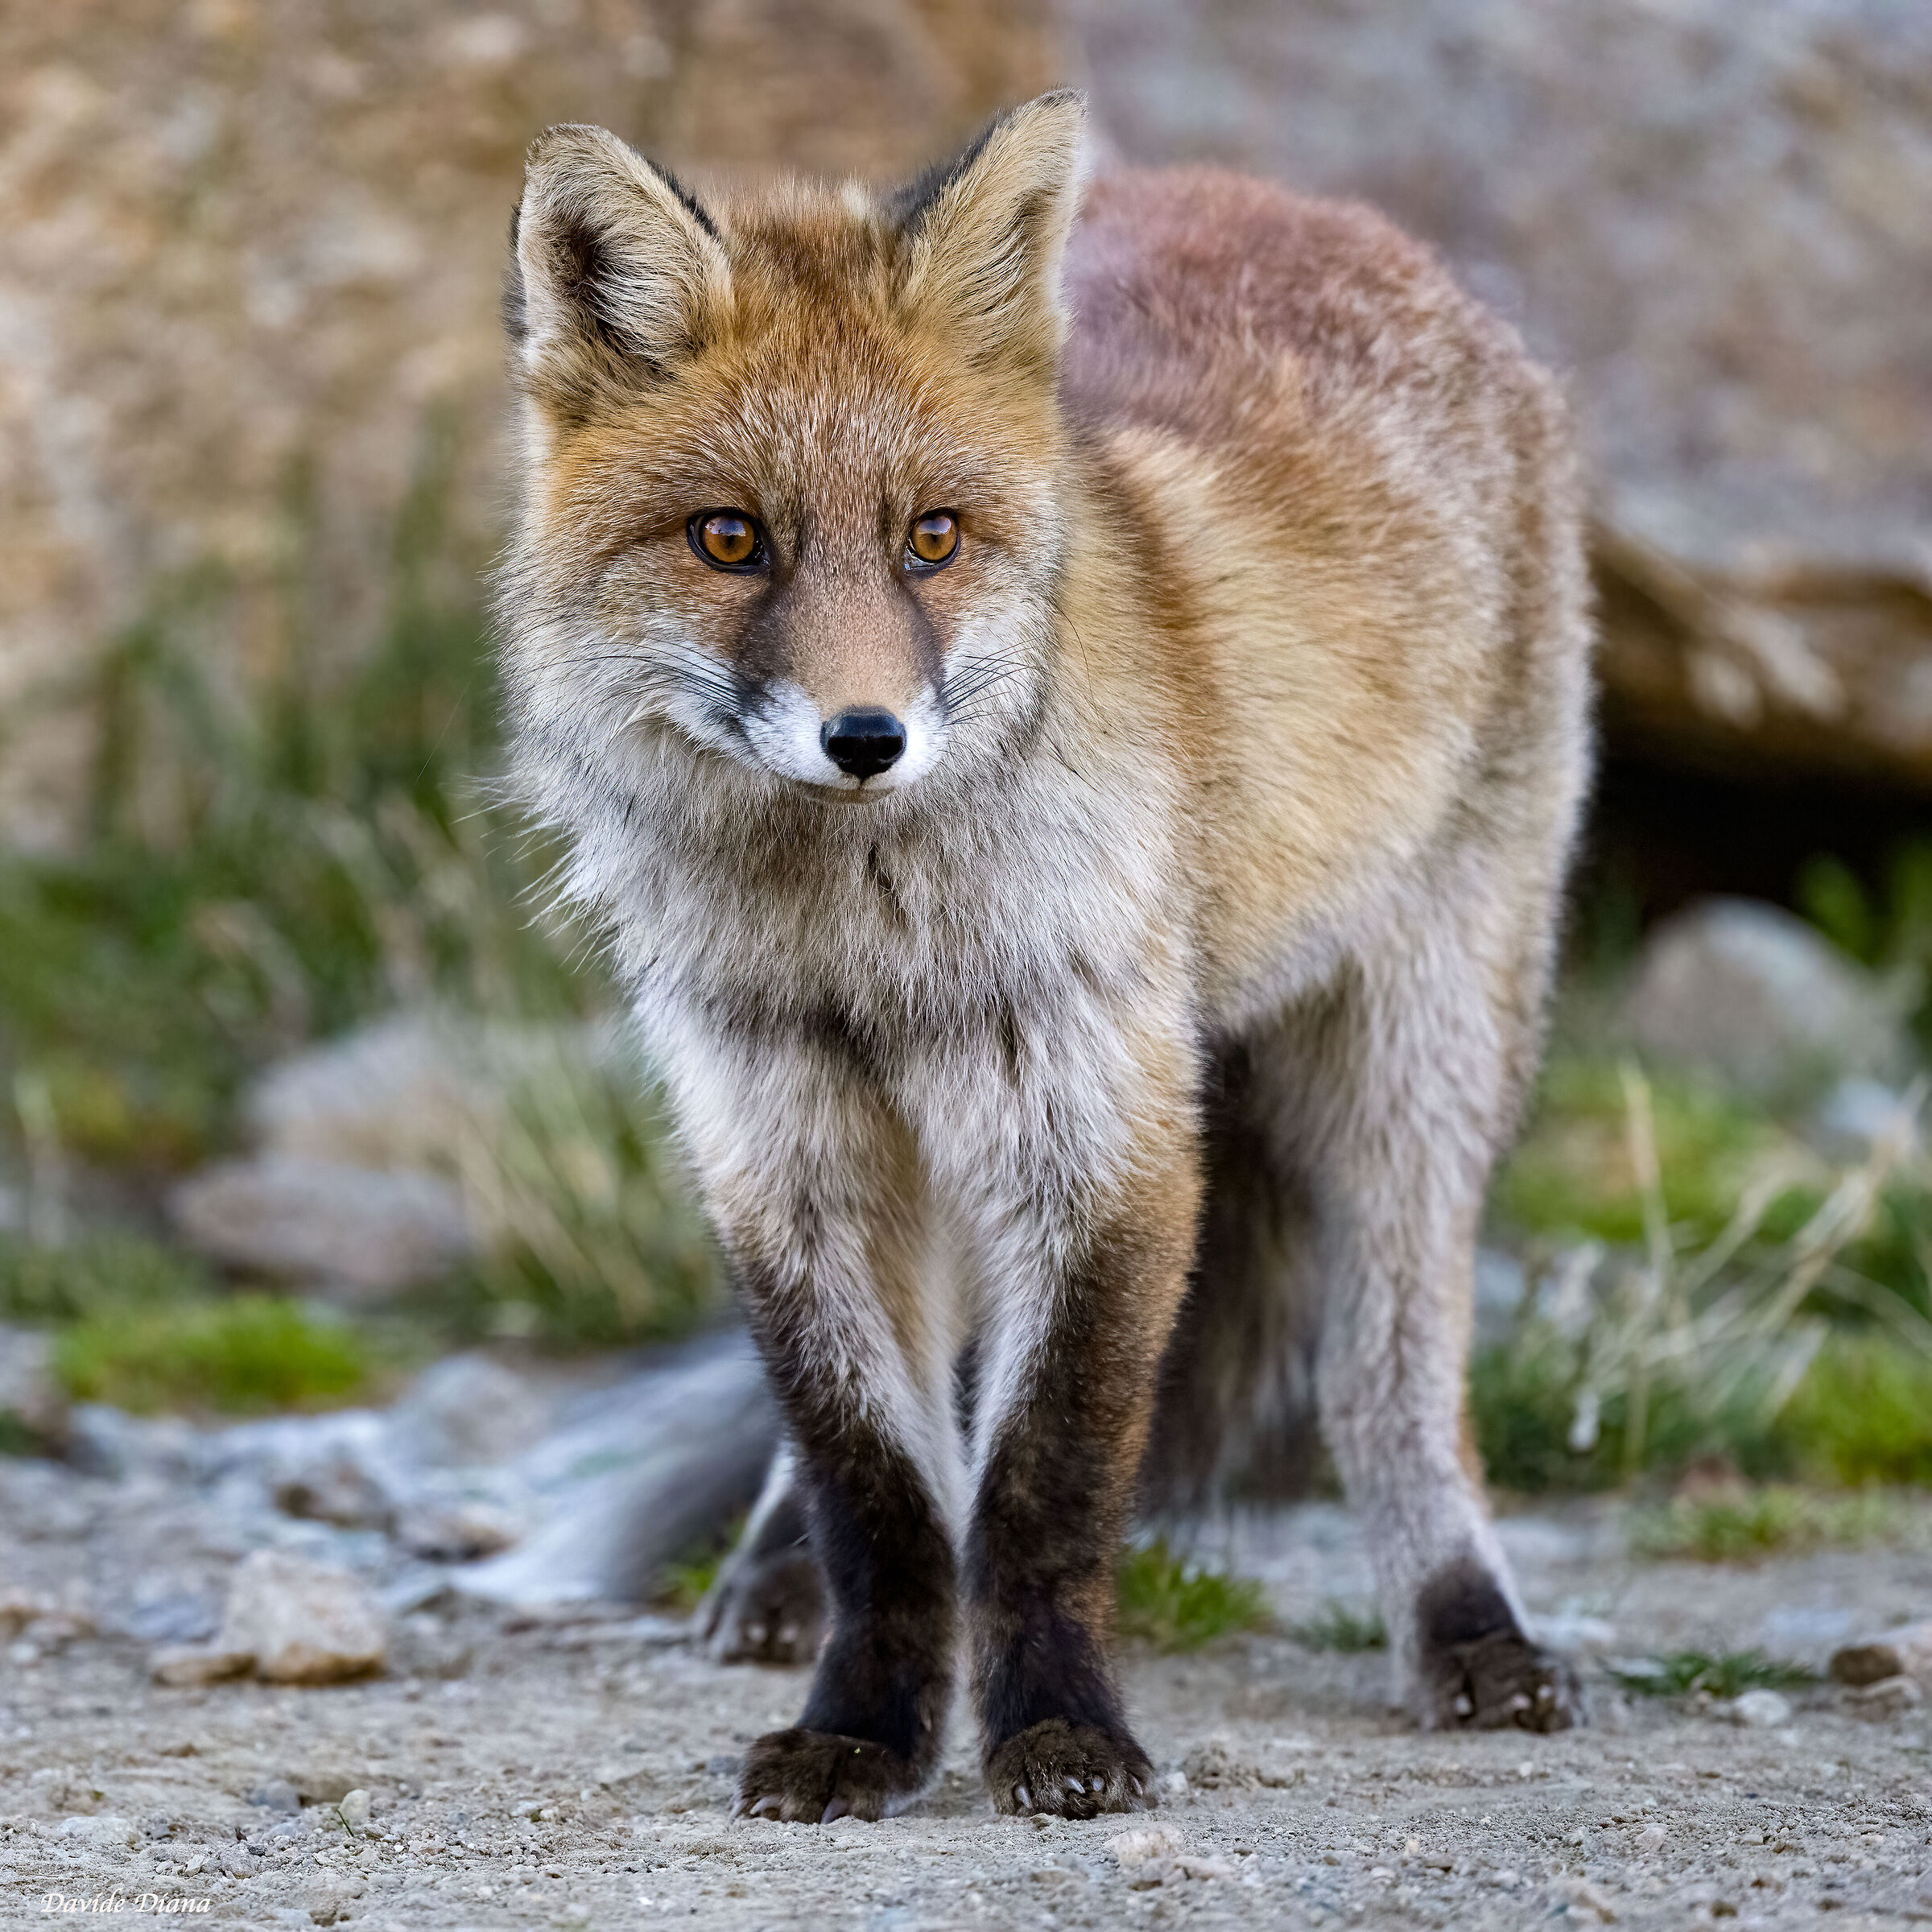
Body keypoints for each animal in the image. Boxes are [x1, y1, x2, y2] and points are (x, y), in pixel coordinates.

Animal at [496, 90, 1593, 1824]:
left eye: (932, 539)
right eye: (730, 540)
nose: (865, 738)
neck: (863, 943)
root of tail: (1325, 216)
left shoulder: (1095, 1128)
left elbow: (1039, 1484)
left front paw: (1061, 1733)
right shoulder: (777, 1137)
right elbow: (876, 1482)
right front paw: (867, 1726)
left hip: (1419, 1064)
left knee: (1391, 1390)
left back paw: (1469, 1627)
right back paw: (772, 1580)